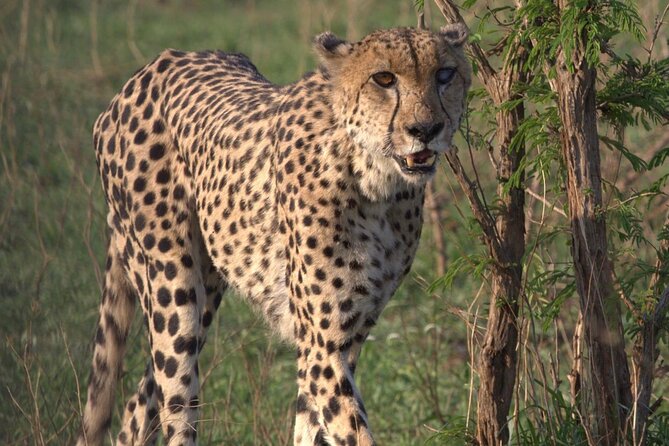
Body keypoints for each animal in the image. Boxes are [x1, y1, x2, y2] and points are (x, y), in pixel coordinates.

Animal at [77, 24, 471, 446]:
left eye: (444, 74)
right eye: (384, 78)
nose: (426, 130)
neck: (374, 179)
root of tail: (146, 72)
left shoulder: (345, 339)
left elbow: (312, 425)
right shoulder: (323, 344)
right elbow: (350, 430)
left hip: (207, 288)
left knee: (139, 401)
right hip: (171, 288)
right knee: (174, 400)